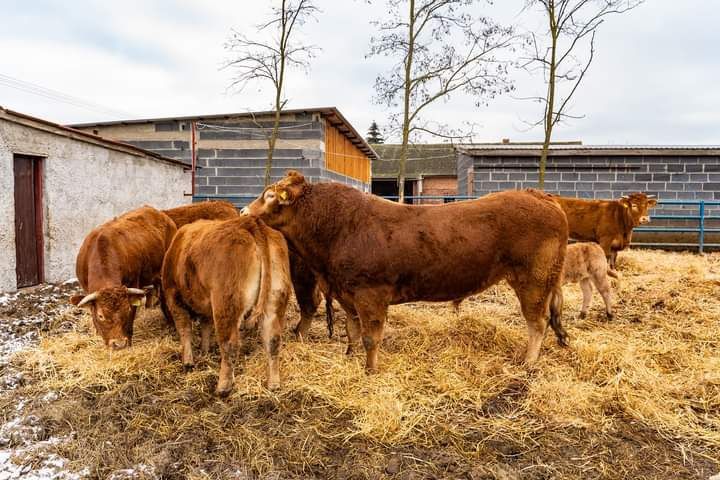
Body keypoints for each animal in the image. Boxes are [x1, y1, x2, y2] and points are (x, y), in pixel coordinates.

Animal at [162, 216, 292, 396]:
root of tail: (250, 222)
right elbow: (206, 325)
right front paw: (204, 351)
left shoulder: (173, 296)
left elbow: (185, 329)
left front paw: (188, 362)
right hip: (274, 301)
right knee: (273, 341)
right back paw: (273, 384)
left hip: (226, 303)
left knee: (229, 345)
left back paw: (222, 387)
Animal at [245, 171, 572, 370]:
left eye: (270, 196)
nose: (245, 211)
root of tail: (539, 195)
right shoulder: (346, 293)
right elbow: (352, 330)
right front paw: (351, 358)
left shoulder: (371, 294)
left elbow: (370, 336)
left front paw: (371, 369)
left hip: (534, 280)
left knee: (537, 322)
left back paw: (529, 362)